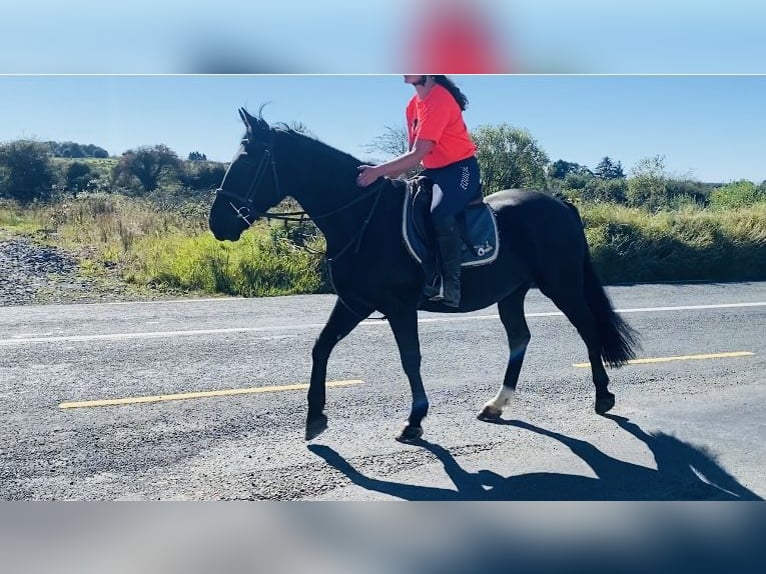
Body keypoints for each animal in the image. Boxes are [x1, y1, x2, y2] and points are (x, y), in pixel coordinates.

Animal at [210, 109, 640, 446]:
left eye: (247, 160)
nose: (217, 223)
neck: (363, 218)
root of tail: (560, 203)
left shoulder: (399, 307)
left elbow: (410, 359)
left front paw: (414, 421)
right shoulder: (354, 303)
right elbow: (321, 347)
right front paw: (315, 418)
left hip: (561, 284)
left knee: (587, 326)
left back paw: (603, 395)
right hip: (511, 292)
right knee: (520, 338)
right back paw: (496, 405)